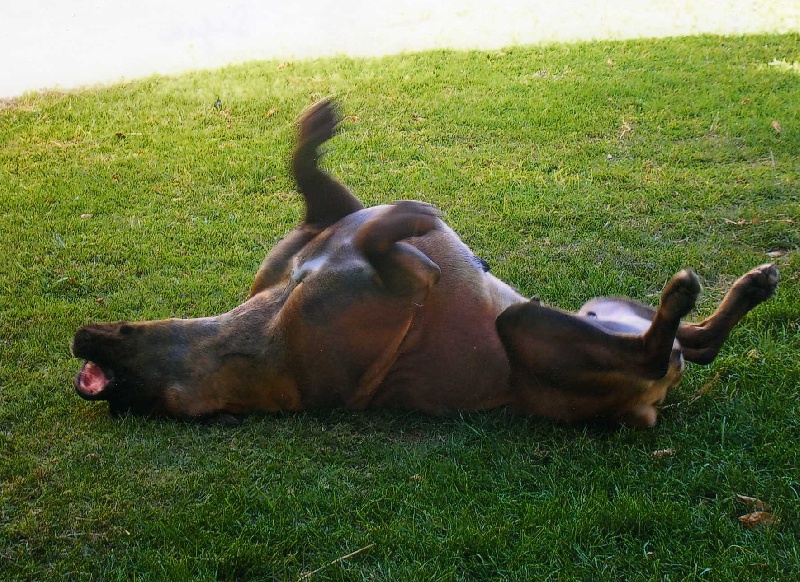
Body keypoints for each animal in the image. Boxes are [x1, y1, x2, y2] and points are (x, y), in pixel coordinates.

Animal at [72, 98, 778, 427]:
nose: (80, 337)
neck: (256, 335)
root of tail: (651, 404)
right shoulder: (407, 277)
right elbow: (392, 232)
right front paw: (418, 216)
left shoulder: (315, 229)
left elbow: (316, 180)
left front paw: (314, 135)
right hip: (532, 328)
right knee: (661, 349)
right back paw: (685, 299)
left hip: (597, 308)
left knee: (697, 341)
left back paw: (749, 287)